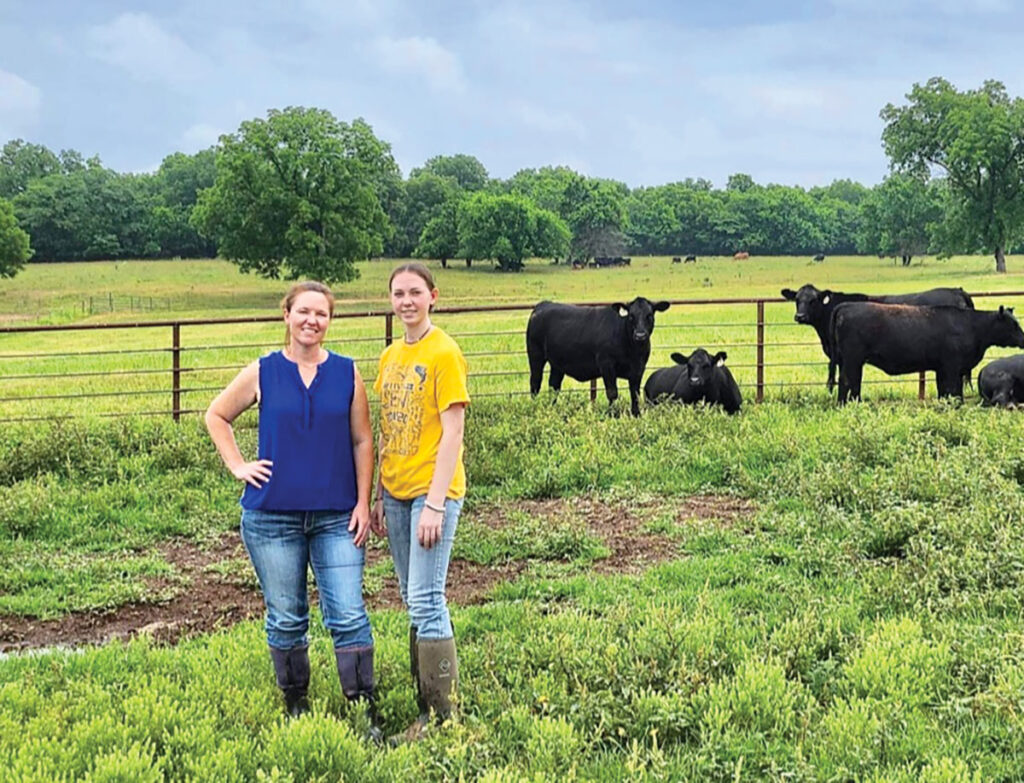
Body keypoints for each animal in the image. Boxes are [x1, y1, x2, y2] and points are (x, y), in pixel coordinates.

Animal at [831, 302, 1024, 403]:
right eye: (1013, 324)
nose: (1023, 339)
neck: (971, 326)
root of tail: (847, 305)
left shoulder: (943, 368)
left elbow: (944, 390)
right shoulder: (952, 367)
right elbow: (953, 389)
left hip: (847, 361)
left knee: (845, 382)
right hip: (853, 360)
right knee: (850, 382)